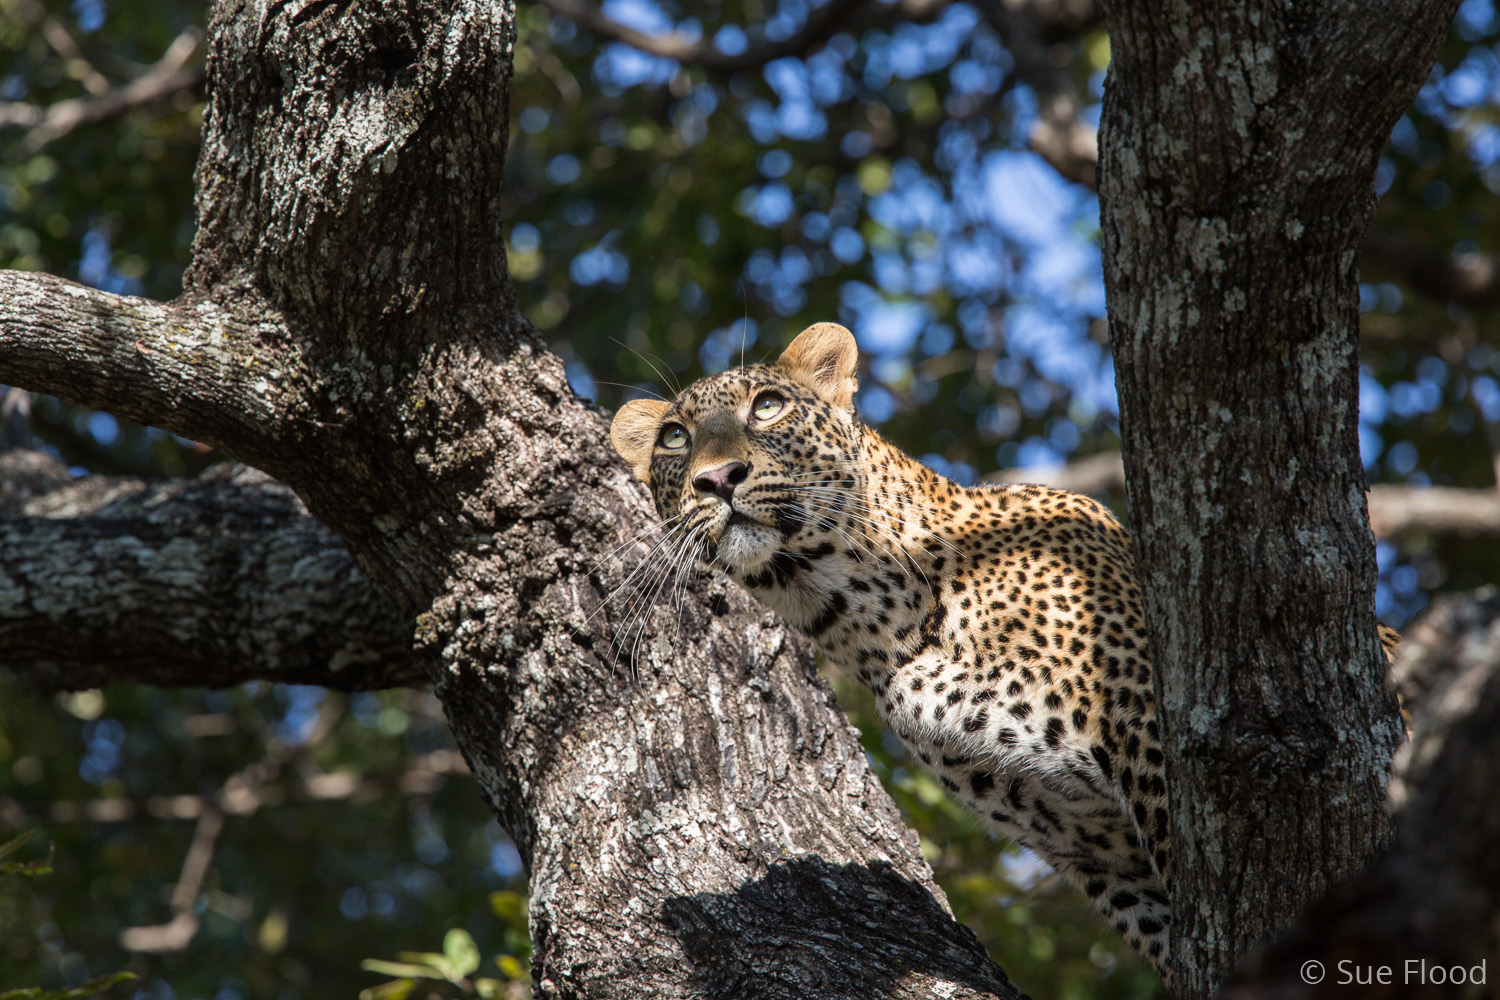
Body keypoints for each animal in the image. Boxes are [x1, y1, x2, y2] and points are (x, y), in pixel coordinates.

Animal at [612, 322, 1404, 983]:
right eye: (674, 438)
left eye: (768, 406)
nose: (717, 479)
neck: (867, 617)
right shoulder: (1100, 856)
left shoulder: (1152, 739)